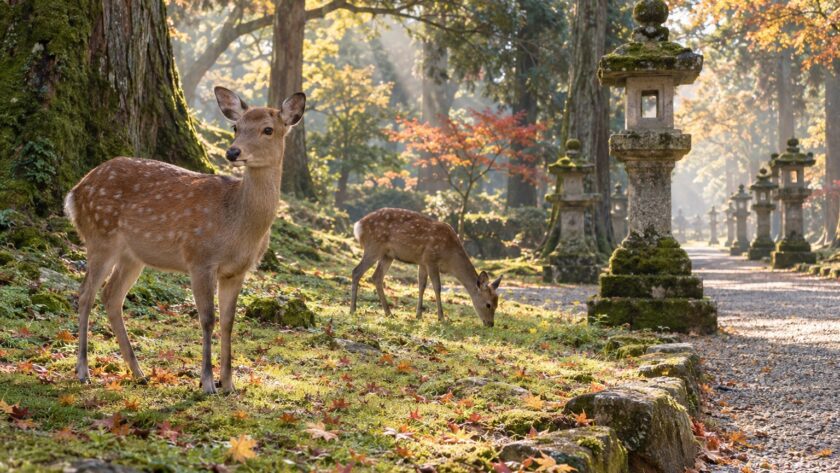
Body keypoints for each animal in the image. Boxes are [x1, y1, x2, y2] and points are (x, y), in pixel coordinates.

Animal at [63, 86, 305, 394]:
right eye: (236, 127)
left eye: (268, 129)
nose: (233, 151)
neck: (239, 226)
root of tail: (75, 192)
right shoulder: (200, 258)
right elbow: (207, 319)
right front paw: (207, 382)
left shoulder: (237, 271)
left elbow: (228, 321)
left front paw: (229, 384)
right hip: (99, 237)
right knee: (85, 293)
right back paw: (83, 370)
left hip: (132, 256)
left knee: (111, 296)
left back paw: (138, 372)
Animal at [350, 208, 501, 327]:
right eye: (488, 304)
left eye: (497, 304)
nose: (491, 324)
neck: (450, 258)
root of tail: (358, 225)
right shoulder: (431, 259)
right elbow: (437, 287)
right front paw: (441, 318)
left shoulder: (422, 262)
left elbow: (421, 285)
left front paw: (418, 315)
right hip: (374, 246)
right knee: (356, 271)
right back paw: (353, 309)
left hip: (387, 255)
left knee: (377, 276)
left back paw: (389, 313)